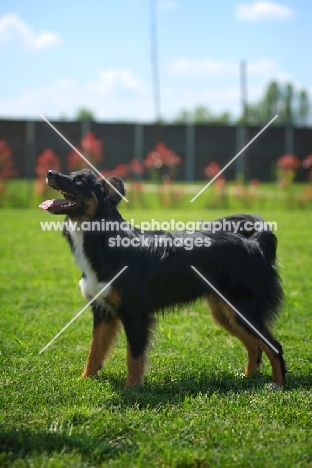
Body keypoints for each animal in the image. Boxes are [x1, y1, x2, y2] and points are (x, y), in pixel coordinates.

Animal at [39, 170, 286, 390]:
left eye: (80, 180)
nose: (49, 173)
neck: (104, 240)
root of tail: (254, 244)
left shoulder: (135, 314)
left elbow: (134, 356)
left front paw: (132, 389)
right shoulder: (103, 311)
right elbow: (94, 351)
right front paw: (84, 381)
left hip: (242, 310)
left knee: (275, 347)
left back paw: (278, 386)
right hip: (226, 313)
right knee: (255, 347)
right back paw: (247, 378)